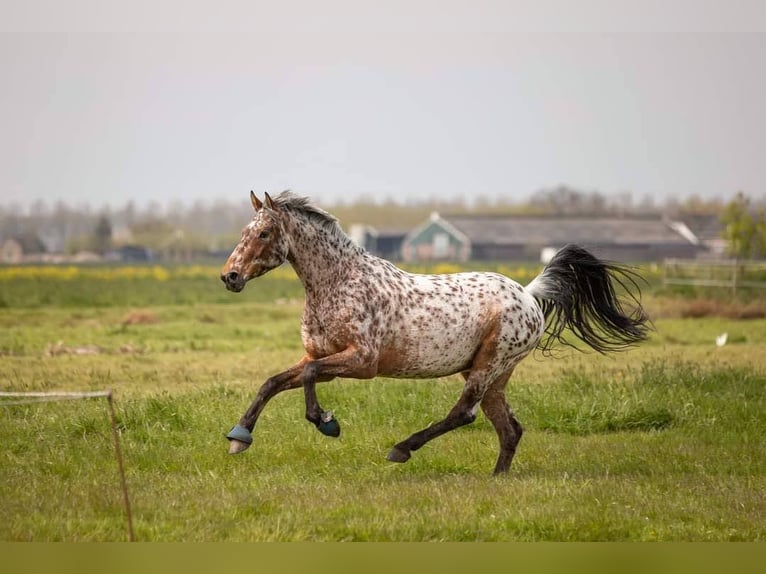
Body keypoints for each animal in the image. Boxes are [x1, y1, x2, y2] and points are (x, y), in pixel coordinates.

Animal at [220, 191, 649, 474]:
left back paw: (401, 449)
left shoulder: (362, 361)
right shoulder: (318, 355)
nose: (230, 276)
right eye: (243, 231)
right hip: (493, 374)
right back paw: (497, 478)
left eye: (263, 234)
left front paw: (326, 422)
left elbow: (307, 378)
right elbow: (273, 382)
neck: (337, 284)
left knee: (465, 413)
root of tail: (528, 295)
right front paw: (239, 437)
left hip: (488, 365)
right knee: (509, 428)